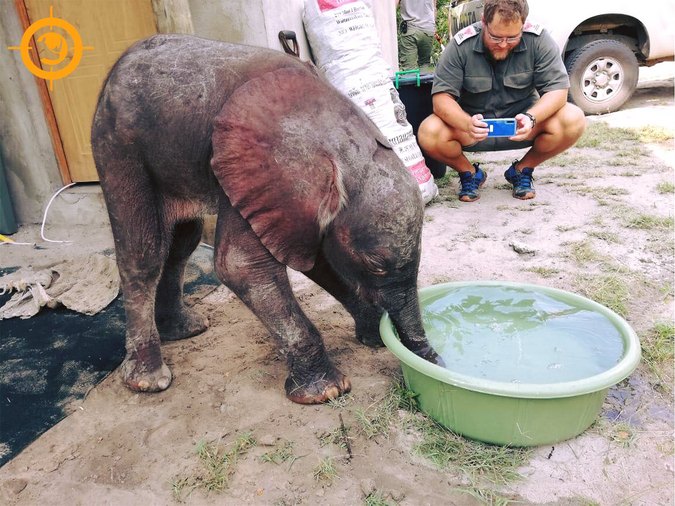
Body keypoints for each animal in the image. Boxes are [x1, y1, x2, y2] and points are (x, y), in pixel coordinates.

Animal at [91, 34, 434, 404]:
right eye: (375, 265)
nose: (429, 360)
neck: (340, 142)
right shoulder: (257, 173)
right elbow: (240, 266)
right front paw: (327, 391)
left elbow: (317, 260)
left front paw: (371, 335)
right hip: (118, 146)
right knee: (144, 252)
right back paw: (149, 380)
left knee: (183, 242)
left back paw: (185, 330)